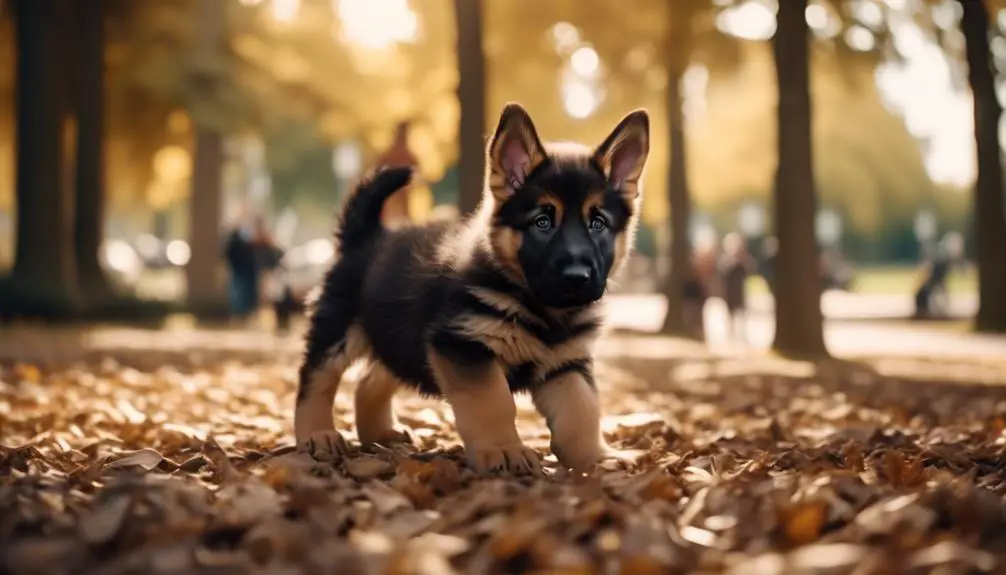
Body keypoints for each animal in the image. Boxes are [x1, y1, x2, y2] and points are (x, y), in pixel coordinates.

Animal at [293, 102, 647, 472]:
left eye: (598, 223)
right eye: (542, 222)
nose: (577, 276)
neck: (538, 306)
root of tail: (367, 235)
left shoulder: (567, 364)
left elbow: (582, 413)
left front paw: (598, 458)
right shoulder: (465, 347)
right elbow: (493, 402)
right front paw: (504, 449)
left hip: (402, 339)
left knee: (369, 381)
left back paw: (380, 434)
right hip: (339, 331)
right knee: (316, 379)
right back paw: (317, 434)